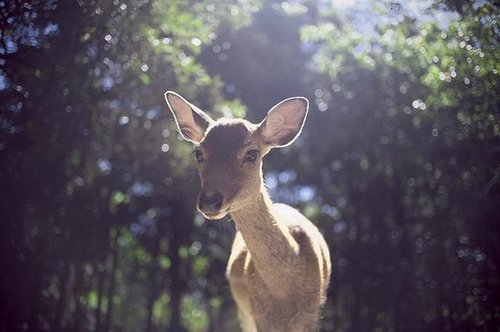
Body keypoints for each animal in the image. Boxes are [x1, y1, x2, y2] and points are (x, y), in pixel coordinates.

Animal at [165, 91, 332, 332]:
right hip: (243, 312)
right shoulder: (258, 313)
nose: (209, 201)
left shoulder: (312, 314)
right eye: (198, 153)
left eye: (252, 154)